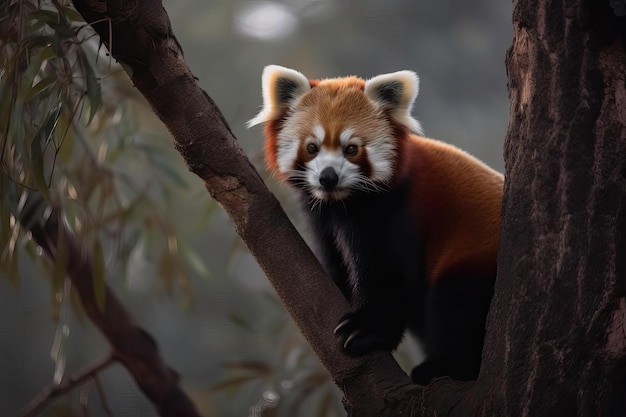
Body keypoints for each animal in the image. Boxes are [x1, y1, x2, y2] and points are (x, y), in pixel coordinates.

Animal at [246, 64, 500, 384]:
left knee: (454, 305)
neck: (344, 202)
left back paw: (445, 367)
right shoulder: (321, 216)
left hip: (475, 254)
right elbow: (335, 257)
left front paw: (368, 331)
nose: (328, 177)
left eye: (351, 149)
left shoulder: (396, 212)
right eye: (312, 147)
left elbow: (389, 276)